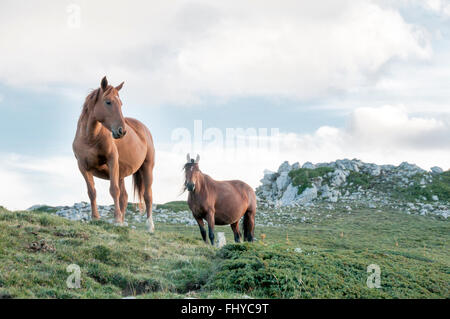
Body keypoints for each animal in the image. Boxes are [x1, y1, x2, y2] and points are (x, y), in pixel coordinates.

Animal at [73, 77, 156, 232]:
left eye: (121, 103)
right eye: (108, 102)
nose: (122, 131)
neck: (90, 139)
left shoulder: (112, 161)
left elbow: (113, 190)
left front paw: (116, 220)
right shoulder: (83, 167)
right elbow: (92, 192)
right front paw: (95, 217)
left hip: (146, 168)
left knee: (147, 196)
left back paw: (149, 226)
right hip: (121, 173)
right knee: (124, 197)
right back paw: (124, 222)